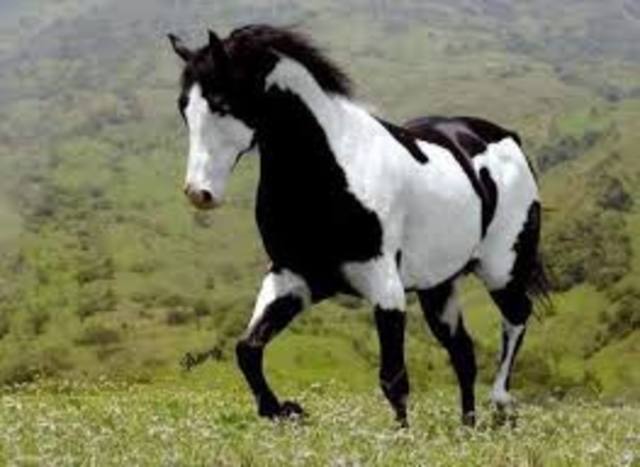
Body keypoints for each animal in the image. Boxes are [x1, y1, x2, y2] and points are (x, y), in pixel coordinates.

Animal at [168, 24, 549, 427]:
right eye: (184, 107)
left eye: (221, 103)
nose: (199, 193)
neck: (332, 172)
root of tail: (507, 137)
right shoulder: (293, 279)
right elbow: (247, 350)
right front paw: (284, 410)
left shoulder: (385, 287)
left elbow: (393, 379)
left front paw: (401, 435)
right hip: (439, 286)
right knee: (463, 352)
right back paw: (467, 427)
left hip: (502, 270)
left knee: (516, 318)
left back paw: (501, 402)